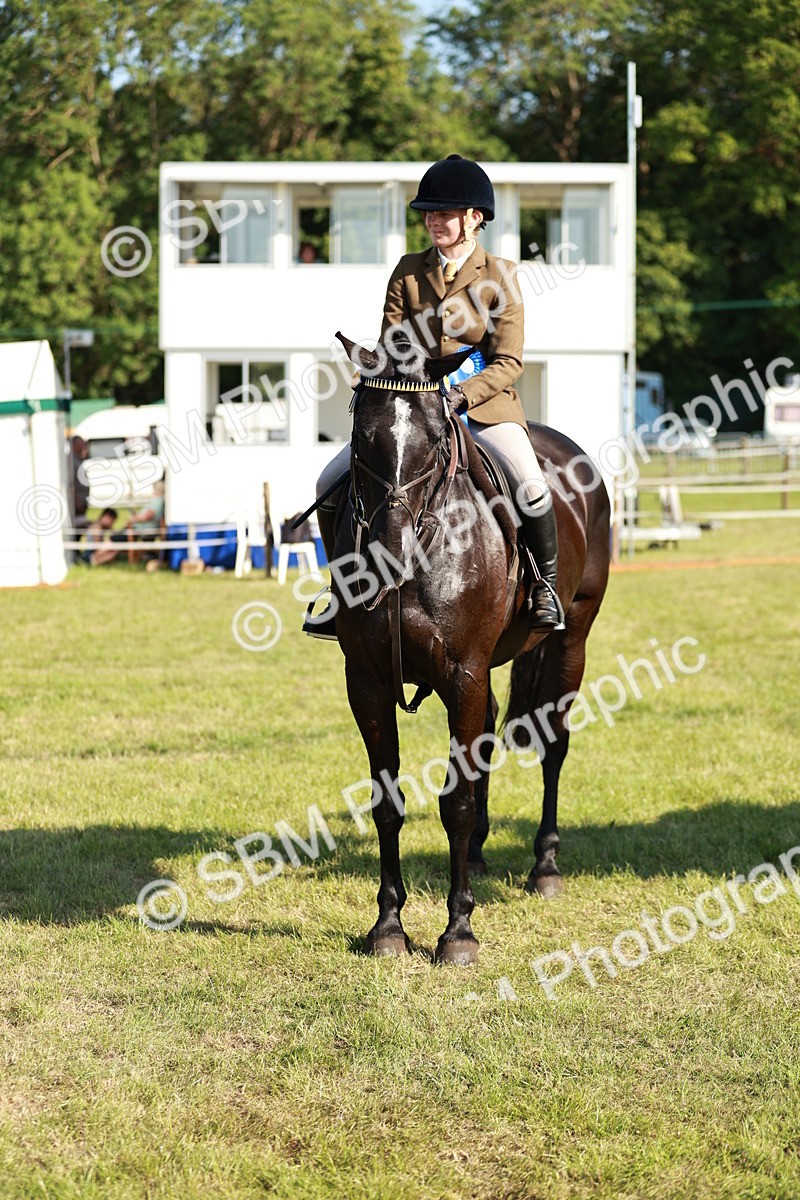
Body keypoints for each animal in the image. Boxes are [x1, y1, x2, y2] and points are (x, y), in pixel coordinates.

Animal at [327, 333, 610, 965]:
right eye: (361, 436)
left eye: (437, 437)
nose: (390, 552)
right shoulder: (368, 681)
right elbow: (388, 802)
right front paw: (388, 926)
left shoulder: (464, 673)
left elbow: (453, 802)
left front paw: (458, 932)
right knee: (486, 742)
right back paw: (479, 856)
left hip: (571, 640)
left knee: (553, 745)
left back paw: (545, 867)